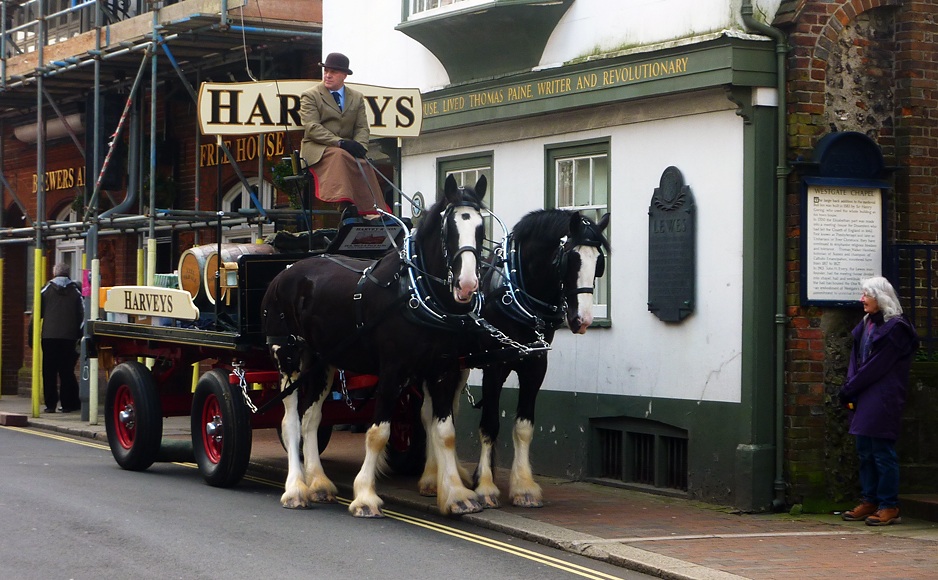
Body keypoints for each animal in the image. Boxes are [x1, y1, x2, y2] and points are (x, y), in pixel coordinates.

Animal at [262, 176, 486, 516]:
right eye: (450, 228)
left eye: (480, 227)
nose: (468, 284)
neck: (415, 292)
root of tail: (285, 272)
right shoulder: (393, 370)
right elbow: (379, 433)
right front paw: (365, 495)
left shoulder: (443, 369)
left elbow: (445, 432)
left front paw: (457, 495)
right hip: (287, 356)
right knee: (290, 422)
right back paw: (296, 489)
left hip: (321, 361)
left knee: (311, 419)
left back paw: (318, 483)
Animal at [416, 210, 608, 508]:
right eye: (571, 260)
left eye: (598, 263)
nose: (583, 320)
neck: (516, 293)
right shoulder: (494, 366)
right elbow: (490, 424)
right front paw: (485, 485)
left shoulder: (535, 366)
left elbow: (523, 426)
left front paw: (523, 487)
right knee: (428, 414)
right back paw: (431, 477)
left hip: (456, 366)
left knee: (448, 411)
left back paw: (454, 473)